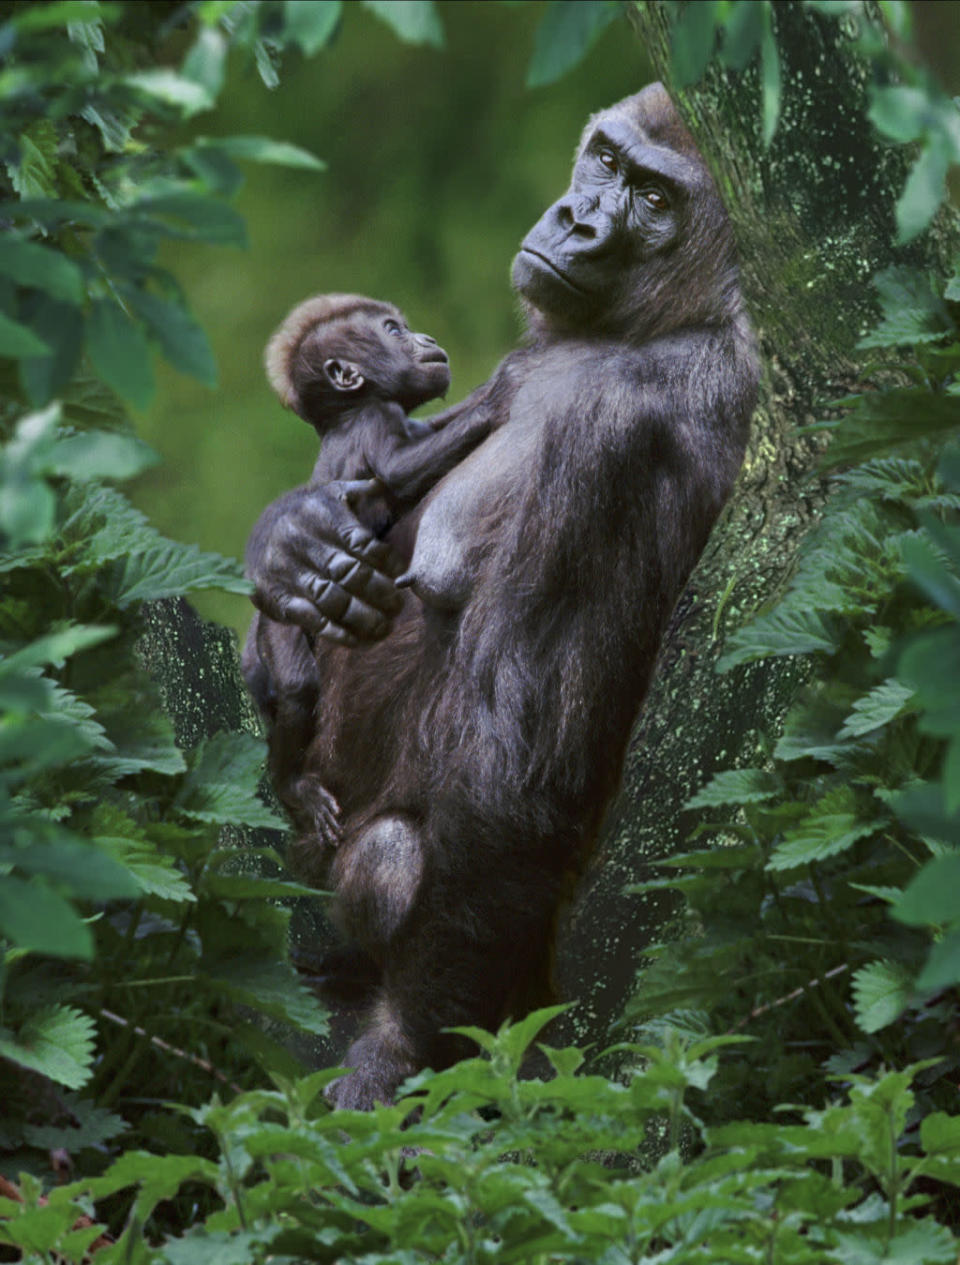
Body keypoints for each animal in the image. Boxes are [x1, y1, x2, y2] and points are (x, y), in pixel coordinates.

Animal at [244, 294, 488, 865]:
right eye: (393, 331)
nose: (425, 340)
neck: (349, 411)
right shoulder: (377, 417)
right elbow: (399, 470)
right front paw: (500, 391)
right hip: (279, 622)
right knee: (296, 687)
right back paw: (292, 785)